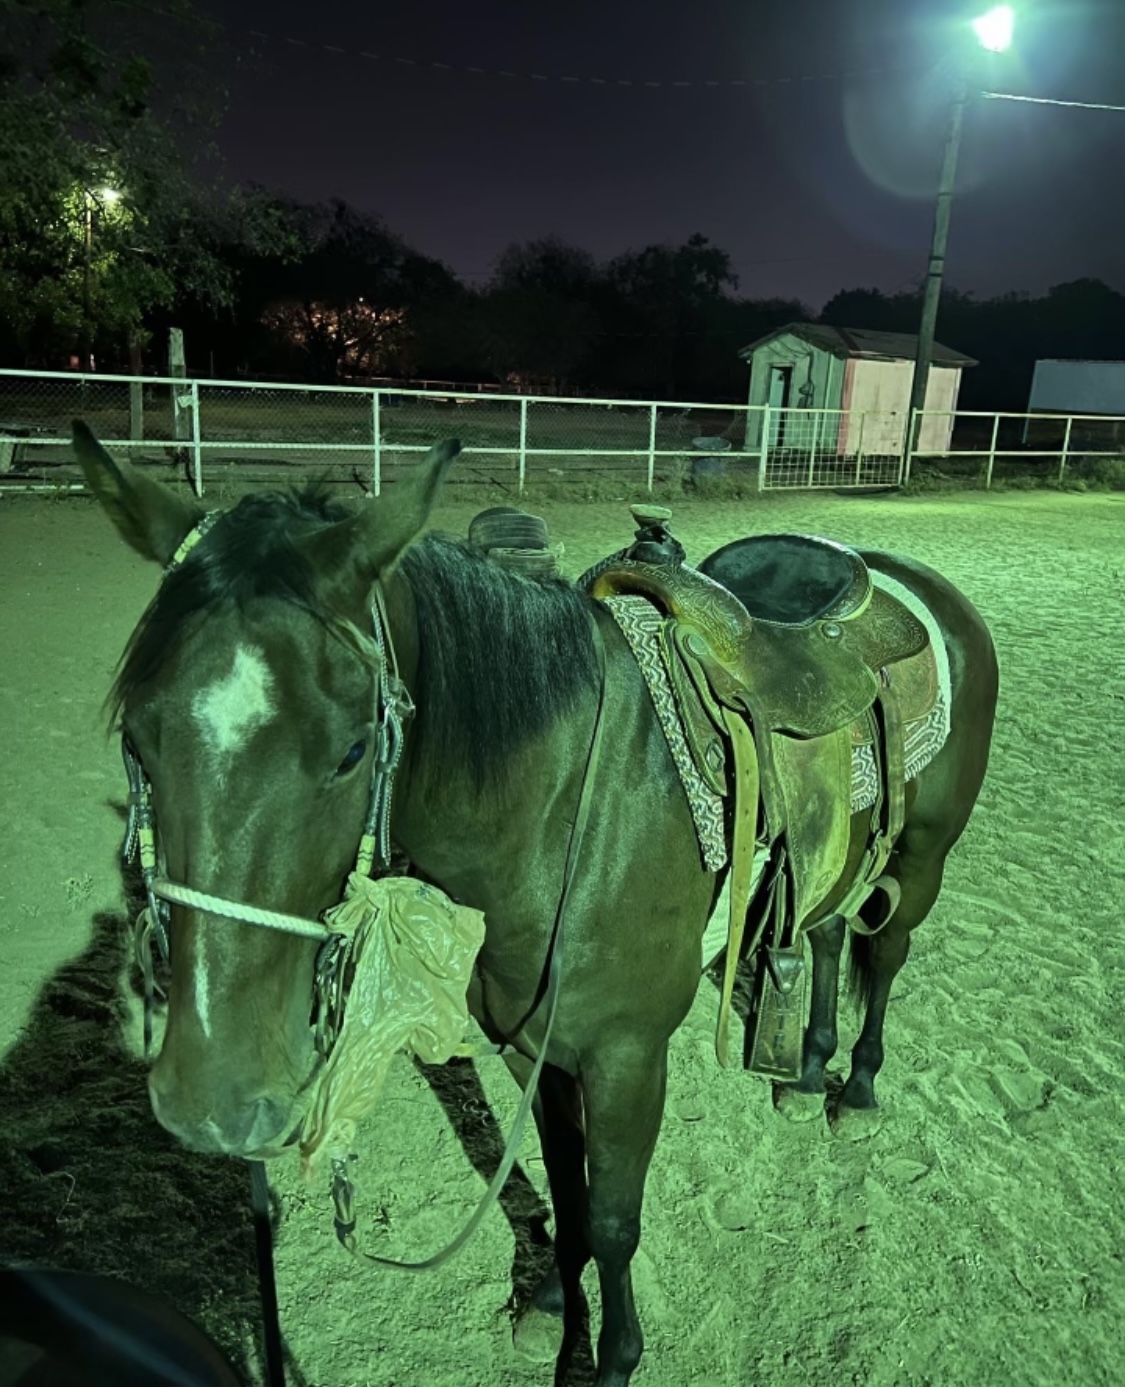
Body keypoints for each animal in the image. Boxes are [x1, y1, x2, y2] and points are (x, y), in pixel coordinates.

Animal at [72, 422, 998, 1386]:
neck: (562, 815)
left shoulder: (627, 1059)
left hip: (921, 864)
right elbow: (563, 1185)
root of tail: (905, 577)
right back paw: (808, 1069)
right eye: (137, 735)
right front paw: (553, 1303)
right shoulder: (531, 1048)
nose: (213, 1099)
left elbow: (613, 1219)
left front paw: (611, 1355)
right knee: (821, 936)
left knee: (882, 954)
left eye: (353, 747)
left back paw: (855, 1088)